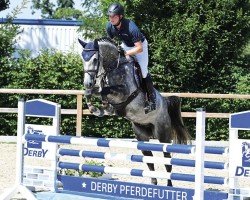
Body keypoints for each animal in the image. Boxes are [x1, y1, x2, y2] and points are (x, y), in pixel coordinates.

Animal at [78, 37, 189, 186]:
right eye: (82, 58)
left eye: (95, 59)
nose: (87, 83)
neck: (114, 67)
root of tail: (165, 102)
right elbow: (93, 93)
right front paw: (97, 108)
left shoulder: (123, 92)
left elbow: (104, 91)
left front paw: (102, 107)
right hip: (141, 135)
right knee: (149, 159)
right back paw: (153, 183)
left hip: (163, 134)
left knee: (167, 160)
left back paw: (169, 186)